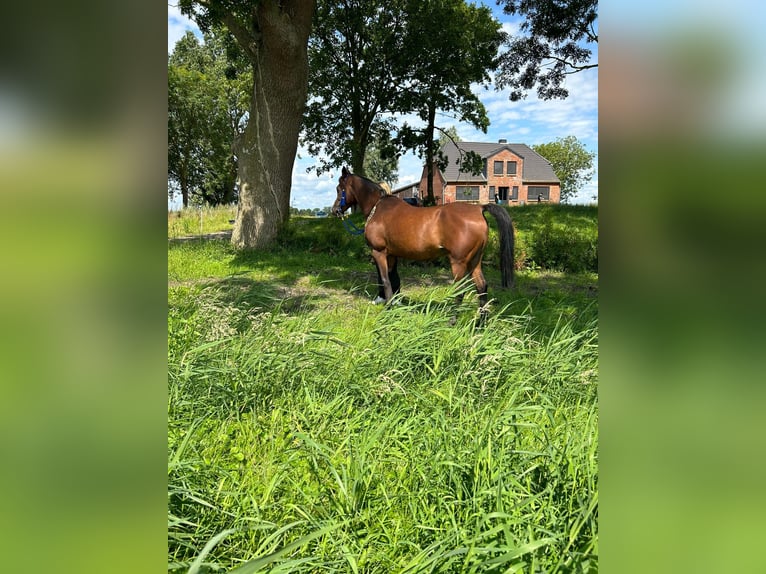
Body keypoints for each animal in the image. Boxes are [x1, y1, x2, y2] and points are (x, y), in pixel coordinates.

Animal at [332, 166, 516, 310]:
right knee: (481, 287)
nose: (335, 210)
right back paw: (479, 326)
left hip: (459, 263)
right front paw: (392, 302)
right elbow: (393, 278)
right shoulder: (391, 255)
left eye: (339, 188)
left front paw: (388, 306)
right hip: (475, 261)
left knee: (460, 292)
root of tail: (478, 209)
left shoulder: (379, 252)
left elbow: (385, 279)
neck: (378, 208)